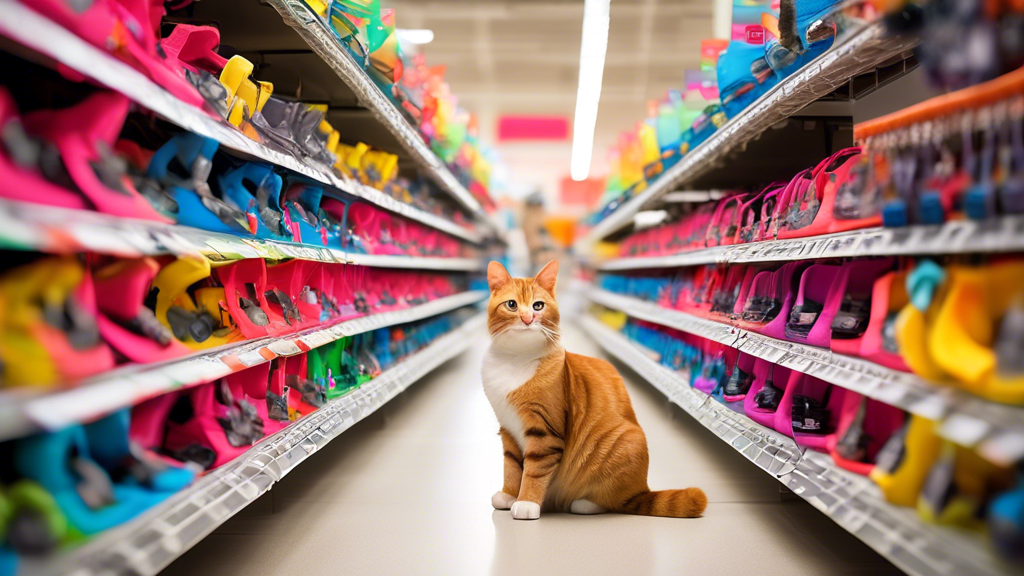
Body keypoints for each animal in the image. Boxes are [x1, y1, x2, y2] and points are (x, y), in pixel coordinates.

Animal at [483, 260, 708, 520]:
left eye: (538, 305)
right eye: (512, 305)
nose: (528, 318)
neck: (514, 358)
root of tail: (642, 490)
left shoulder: (544, 431)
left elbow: (534, 470)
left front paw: (527, 502)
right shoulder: (507, 427)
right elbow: (511, 466)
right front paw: (509, 494)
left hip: (625, 442)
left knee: (615, 502)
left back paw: (584, 504)